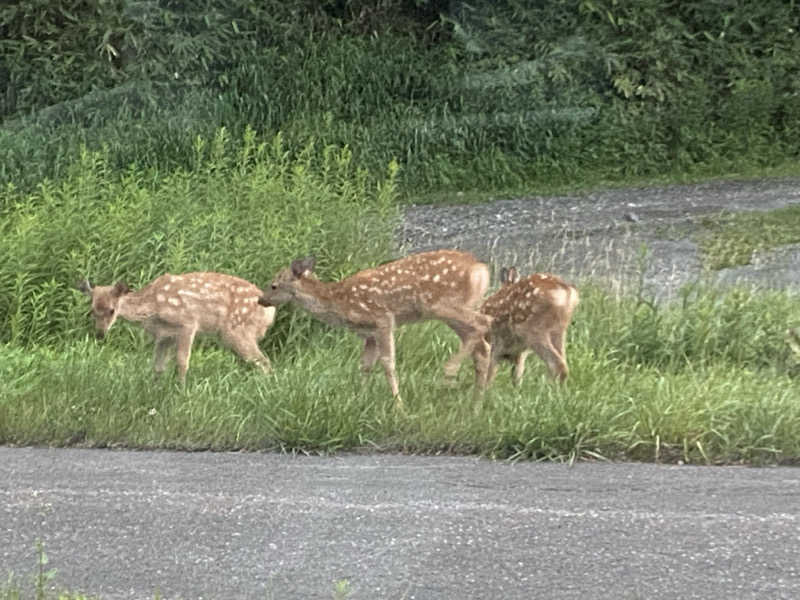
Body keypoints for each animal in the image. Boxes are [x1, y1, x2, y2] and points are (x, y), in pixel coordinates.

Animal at [78, 270, 276, 382]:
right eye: (92, 310)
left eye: (112, 310)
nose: (100, 334)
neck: (153, 306)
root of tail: (271, 311)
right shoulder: (163, 335)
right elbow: (158, 366)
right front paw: (155, 388)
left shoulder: (187, 323)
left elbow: (182, 362)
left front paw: (180, 390)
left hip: (236, 330)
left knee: (263, 362)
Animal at [260, 248, 490, 404]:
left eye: (274, 285)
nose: (261, 300)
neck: (339, 302)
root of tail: (481, 269)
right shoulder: (369, 333)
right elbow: (366, 365)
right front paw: (359, 400)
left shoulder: (383, 319)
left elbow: (388, 363)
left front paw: (398, 405)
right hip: (456, 309)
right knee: (481, 345)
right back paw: (476, 403)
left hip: (442, 305)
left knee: (482, 323)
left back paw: (450, 372)